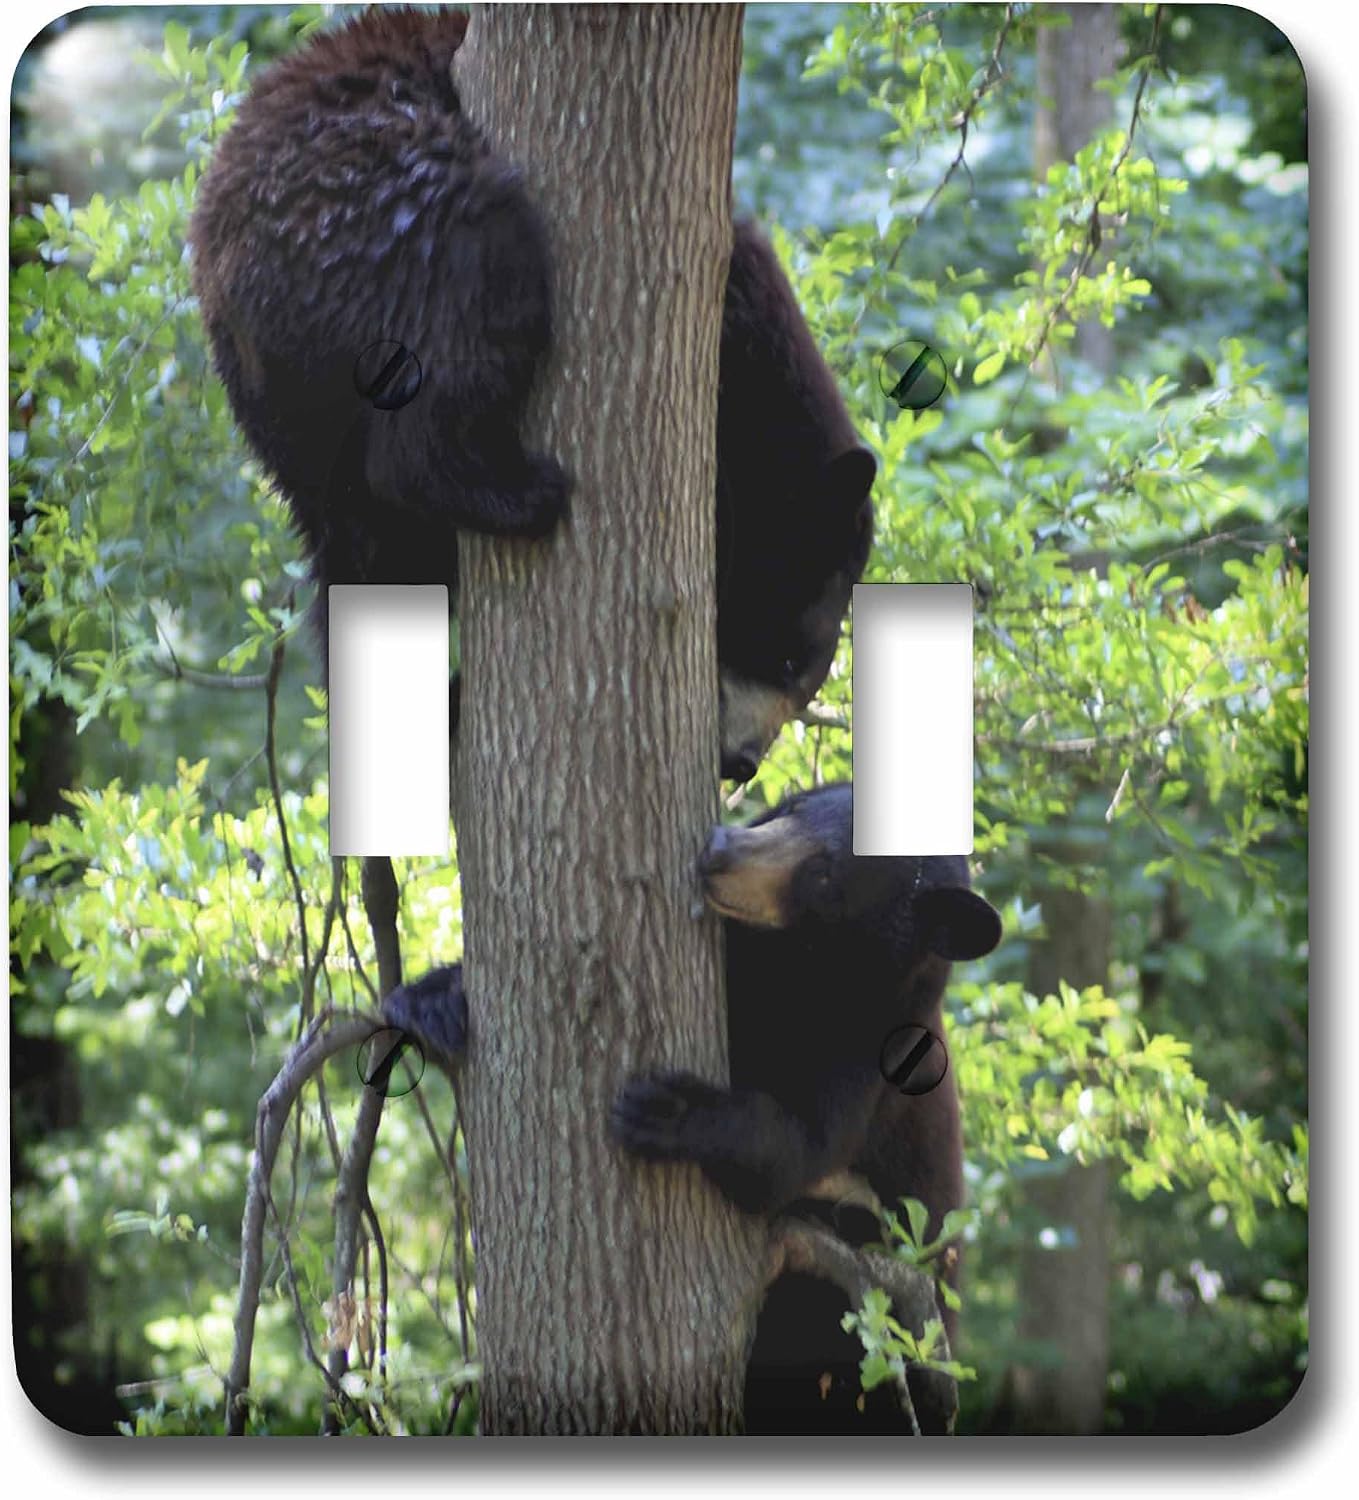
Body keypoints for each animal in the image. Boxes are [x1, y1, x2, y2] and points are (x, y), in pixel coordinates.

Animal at [189, 6, 875, 777]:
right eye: (788, 654)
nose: (742, 762)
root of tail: (222, 279)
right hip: (381, 205)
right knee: (476, 283)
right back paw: (520, 494)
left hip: (298, 429)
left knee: (367, 557)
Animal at [383, 783, 1001, 1434]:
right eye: (793, 806)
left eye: (824, 877)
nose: (720, 851)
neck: (798, 965)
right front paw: (433, 998)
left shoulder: (866, 1052)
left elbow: (794, 1147)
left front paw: (669, 1110)